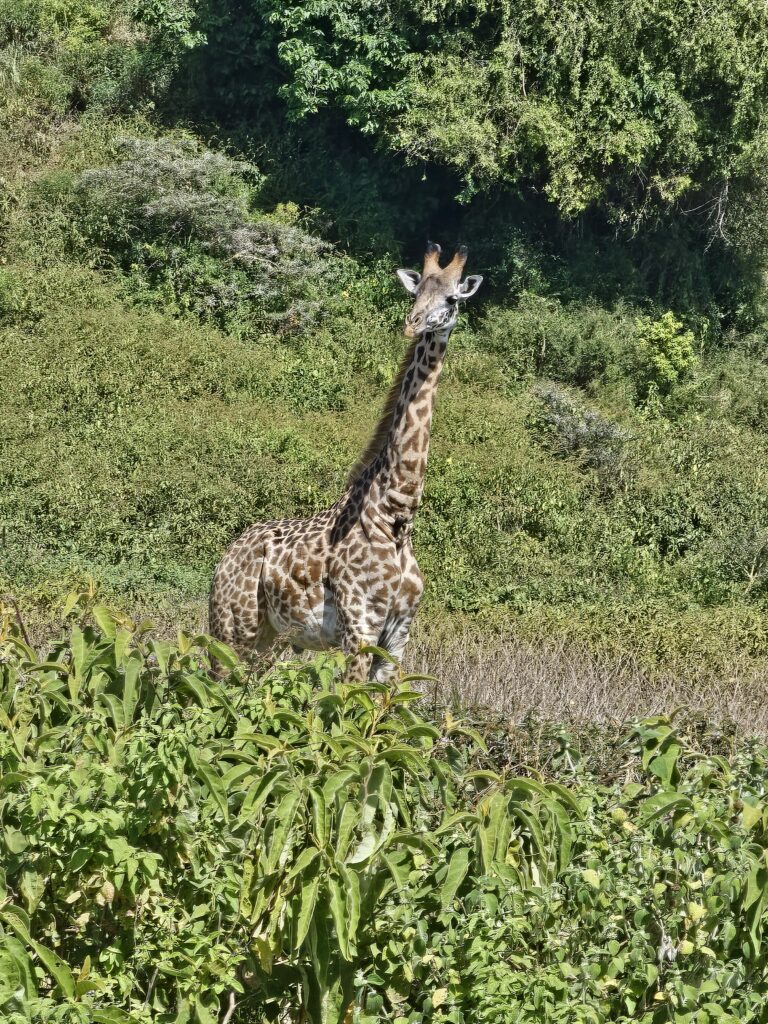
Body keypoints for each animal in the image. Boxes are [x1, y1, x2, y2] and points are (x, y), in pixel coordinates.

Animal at [208, 242, 483, 680]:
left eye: (452, 299)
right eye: (416, 291)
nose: (413, 324)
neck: (396, 515)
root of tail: (225, 556)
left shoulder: (397, 638)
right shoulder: (359, 628)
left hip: (269, 638)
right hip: (233, 628)